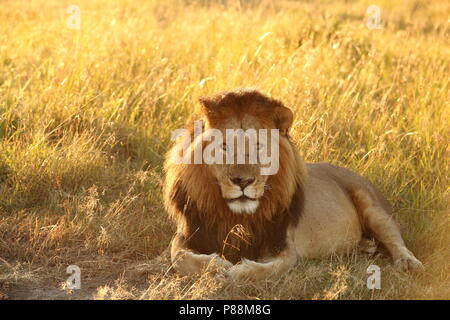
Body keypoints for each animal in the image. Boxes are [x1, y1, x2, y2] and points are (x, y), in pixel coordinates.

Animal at [163, 89, 424, 282]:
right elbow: (179, 257)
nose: (242, 181)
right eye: (224, 147)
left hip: (372, 206)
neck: (238, 216)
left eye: (258, 146)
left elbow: (268, 269)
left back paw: (408, 262)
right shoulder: (189, 232)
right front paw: (216, 266)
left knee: (394, 238)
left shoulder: (284, 245)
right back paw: (364, 246)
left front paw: (236, 272)